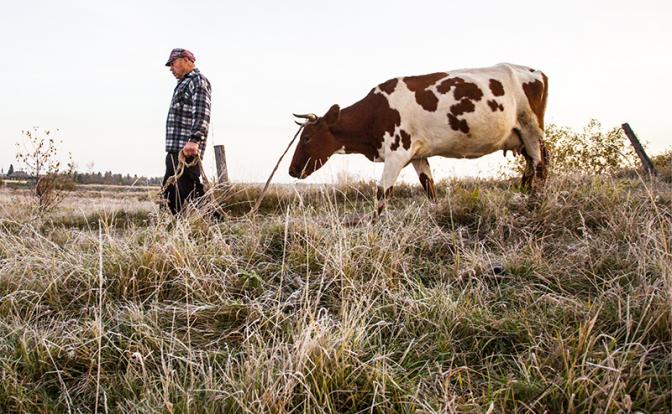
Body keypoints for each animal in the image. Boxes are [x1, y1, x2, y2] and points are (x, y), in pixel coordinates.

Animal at [288, 64, 544, 217]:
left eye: (307, 138)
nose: (291, 170)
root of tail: (533, 71)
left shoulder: (397, 152)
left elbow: (382, 192)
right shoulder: (418, 155)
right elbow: (429, 186)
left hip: (531, 129)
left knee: (540, 166)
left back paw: (538, 201)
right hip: (520, 137)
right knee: (530, 168)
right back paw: (525, 196)